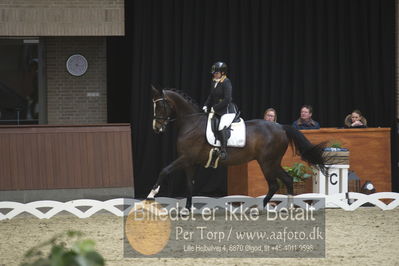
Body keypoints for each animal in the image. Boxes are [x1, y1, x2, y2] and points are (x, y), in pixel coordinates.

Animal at [148, 86, 330, 209]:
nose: (156, 128)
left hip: (267, 162)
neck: (191, 122)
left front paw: (151, 195)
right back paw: (286, 207)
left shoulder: (186, 158)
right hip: (273, 162)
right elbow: (190, 185)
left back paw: (261, 209)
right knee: (287, 179)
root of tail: (280, 127)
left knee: (275, 184)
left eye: (160, 106)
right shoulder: (191, 162)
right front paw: (187, 209)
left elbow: (164, 170)